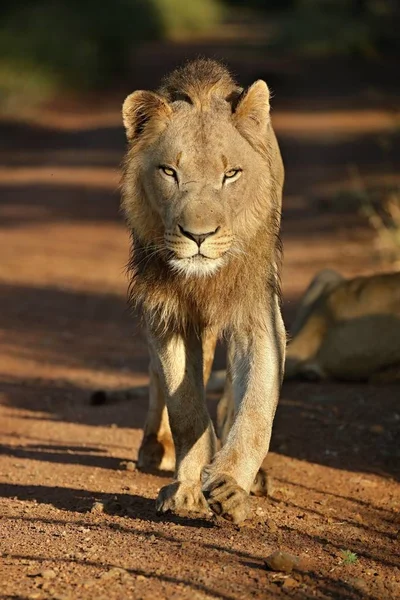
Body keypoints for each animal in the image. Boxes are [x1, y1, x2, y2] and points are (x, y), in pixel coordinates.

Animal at [120, 58, 286, 524]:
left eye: (230, 174)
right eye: (169, 172)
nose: (198, 236)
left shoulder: (258, 313)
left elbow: (256, 407)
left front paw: (230, 484)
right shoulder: (165, 313)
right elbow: (186, 407)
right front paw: (186, 489)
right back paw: (154, 449)